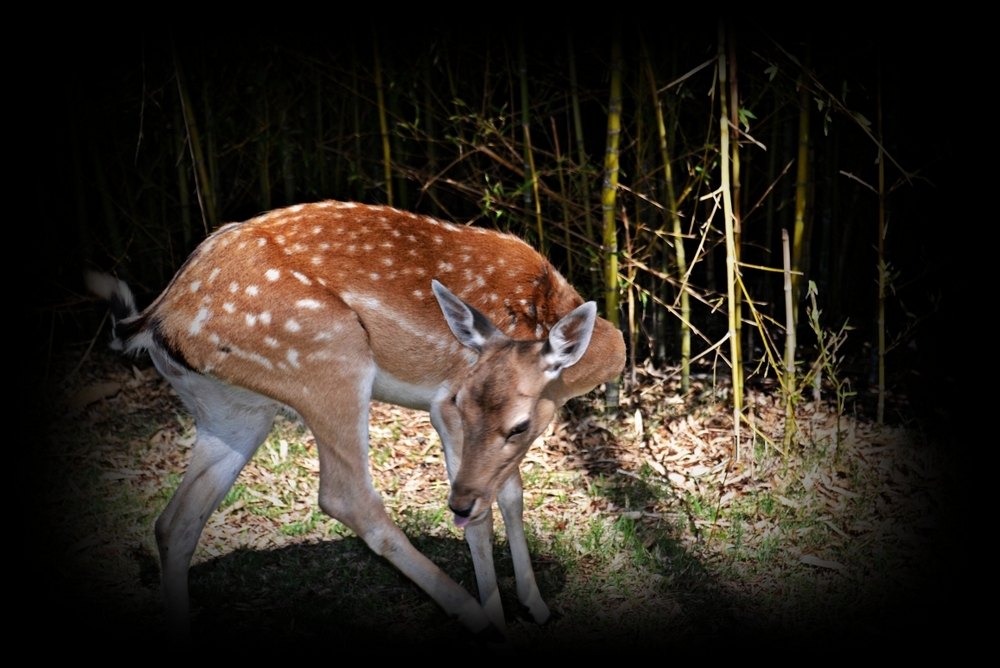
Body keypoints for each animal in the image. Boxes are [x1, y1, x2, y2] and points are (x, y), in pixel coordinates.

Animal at [90, 200, 628, 640]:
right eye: (461, 401)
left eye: (518, 425)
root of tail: (154, 320)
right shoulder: (443, 403)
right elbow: (480, 514)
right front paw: (499, 618)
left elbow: (510, 495)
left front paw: (537, 607)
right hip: (330, 357)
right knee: (345, 496)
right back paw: (469, 613)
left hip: (233, 411)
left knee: (174, 522)